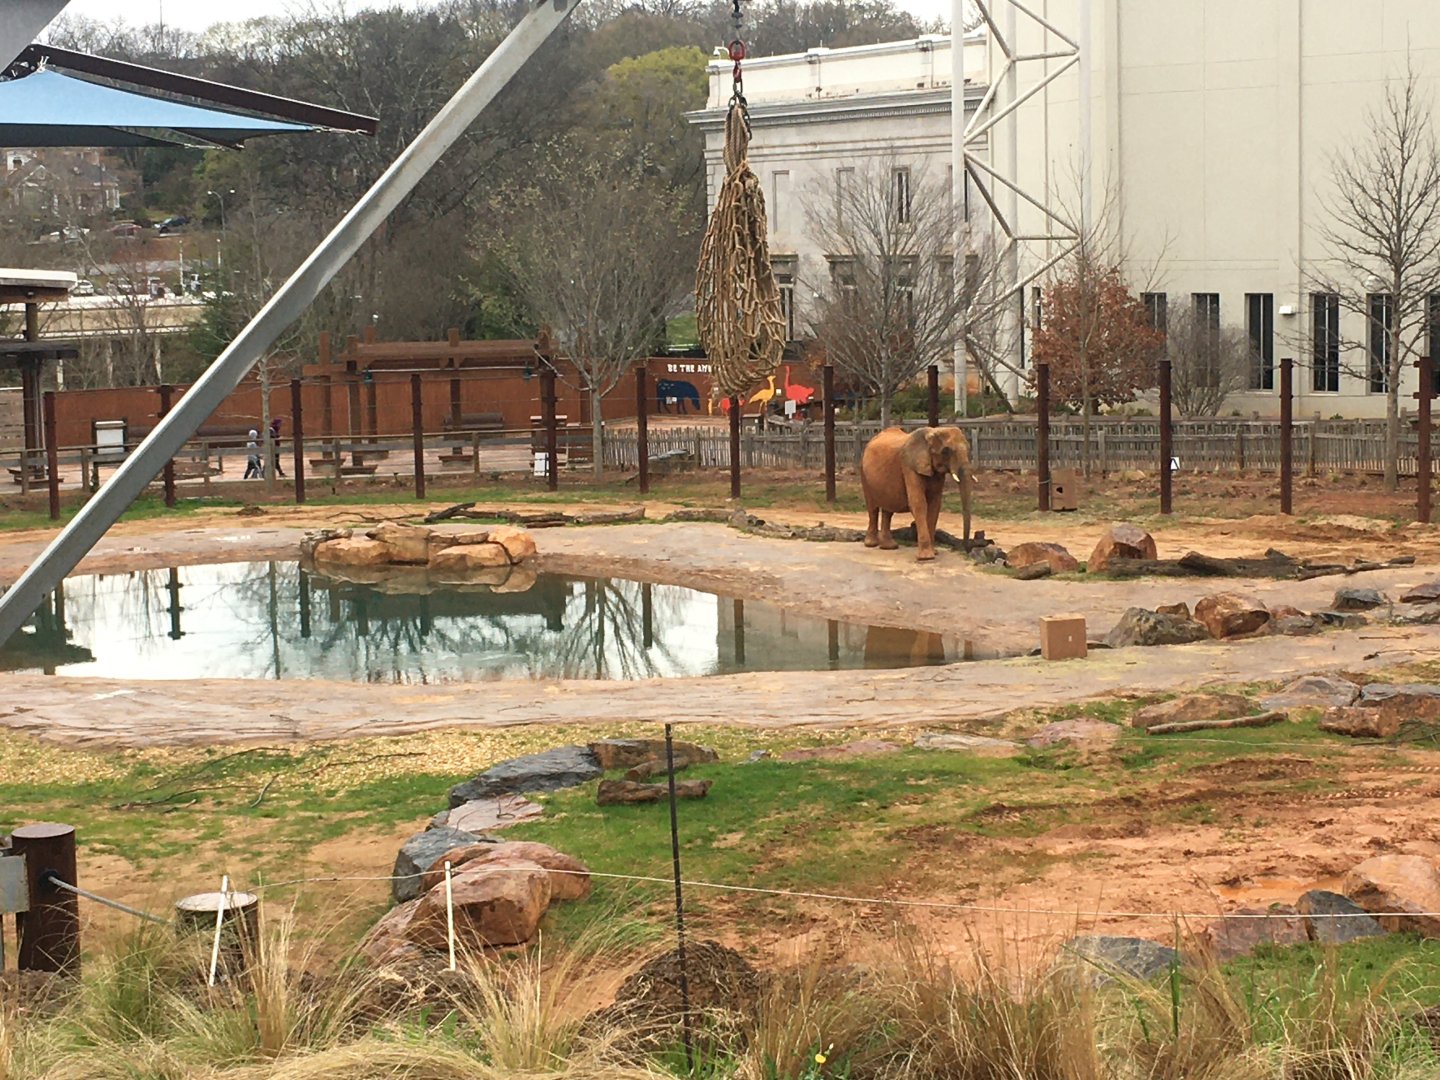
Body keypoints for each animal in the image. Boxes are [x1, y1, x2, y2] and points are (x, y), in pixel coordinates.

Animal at [860, 426, 973, 561]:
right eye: (946, 451)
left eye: (969, 448)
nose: (966, 550)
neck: (932, 432)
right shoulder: (909, 466)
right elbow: (918, 502)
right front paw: (926, 558)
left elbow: (935, 505)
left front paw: (934, 553)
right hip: (864, 473)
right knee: (872, 508)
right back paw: (871, 544)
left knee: (888, 510)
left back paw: (889, 547)